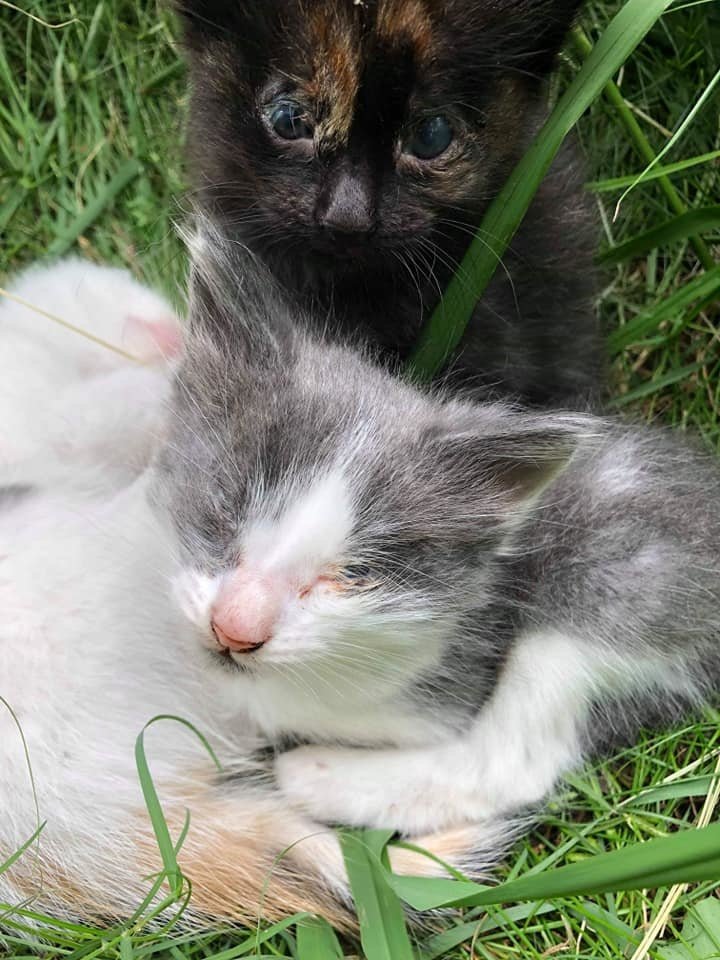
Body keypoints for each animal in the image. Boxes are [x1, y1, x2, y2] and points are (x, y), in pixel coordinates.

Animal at [158, 234, 720, 872]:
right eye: (222, 515)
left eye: (355, 575)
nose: (234, 629)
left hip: (616, 572)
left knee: (514, 761)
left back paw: (321, 778)